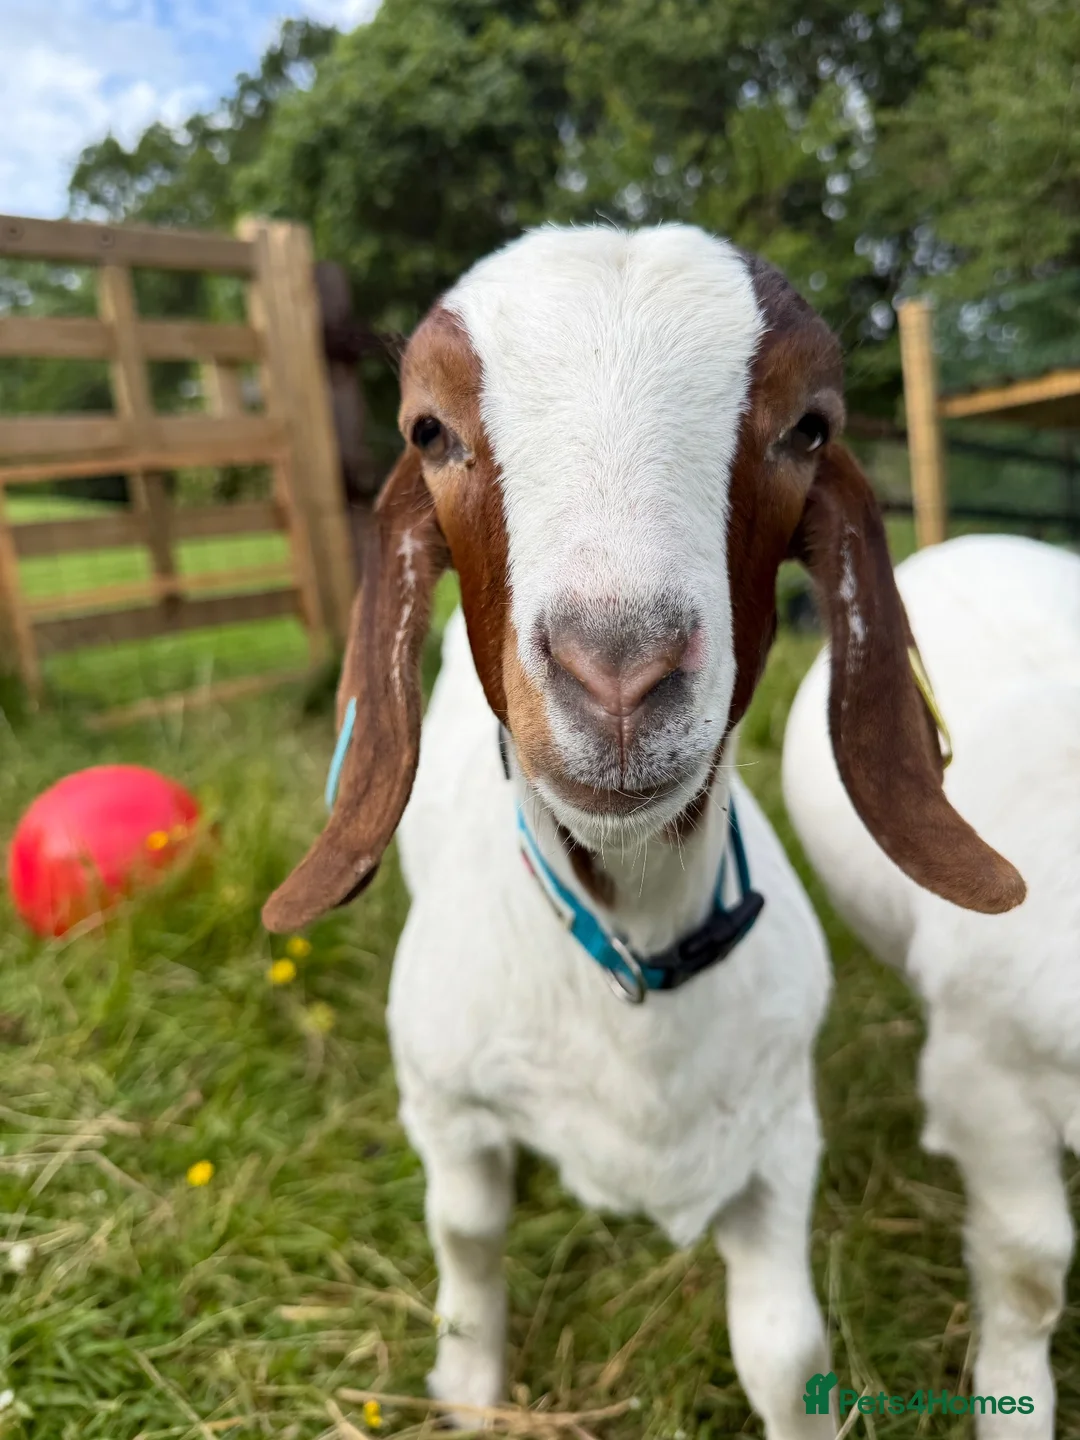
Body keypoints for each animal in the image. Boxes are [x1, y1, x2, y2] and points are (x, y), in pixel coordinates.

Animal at [262, 226, 1022, 1437]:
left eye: (809, 426)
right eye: (428, 429)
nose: (617, 672)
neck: (636, 942)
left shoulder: (779, 1139)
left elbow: (785, 1349)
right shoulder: (445, 1103)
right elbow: (466, 1239)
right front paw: (468, 1390)